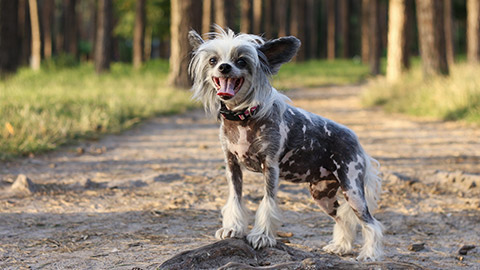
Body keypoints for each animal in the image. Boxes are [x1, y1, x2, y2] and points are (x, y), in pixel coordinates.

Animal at [189, 28, 384, 262]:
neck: (243, 117)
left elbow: (267, 203)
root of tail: (356, 140)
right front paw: (232, 229)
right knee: (342, 219)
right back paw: (341, 247)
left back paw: (370, 254)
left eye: (241, 61)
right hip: (322, 195)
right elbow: (235, 199)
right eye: (213, 60)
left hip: (352, 189)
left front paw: (262, 236)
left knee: (371, 223)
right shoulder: (232, 166)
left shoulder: (270, 167)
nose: (224, 67)